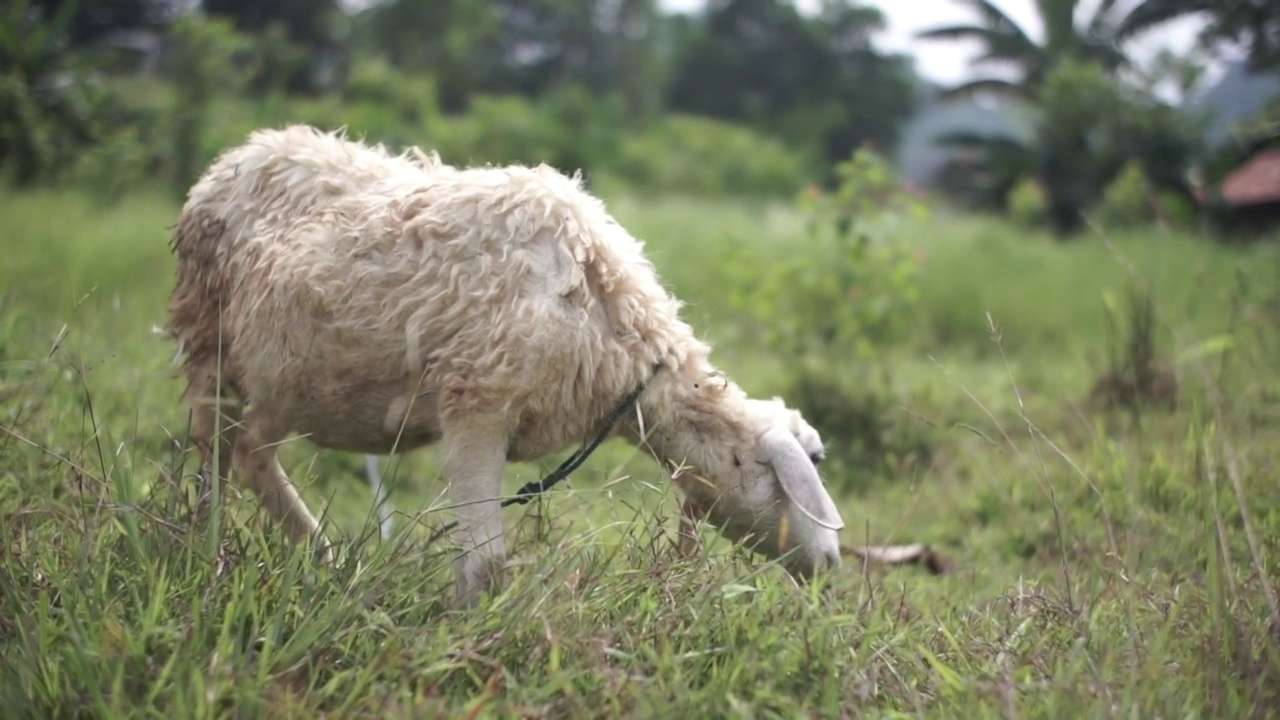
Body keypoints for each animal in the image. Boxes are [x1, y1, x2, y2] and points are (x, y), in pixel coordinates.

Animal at [165, 122, 844, 599]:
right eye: (809, 463)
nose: (834, 562)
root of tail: (237, 156)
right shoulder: (478, 405)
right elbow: (487, 565)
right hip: (208, 336)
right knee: (214, 452)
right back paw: (208, 553)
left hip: (286, 375)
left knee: (251, 451)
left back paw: (326, 564)